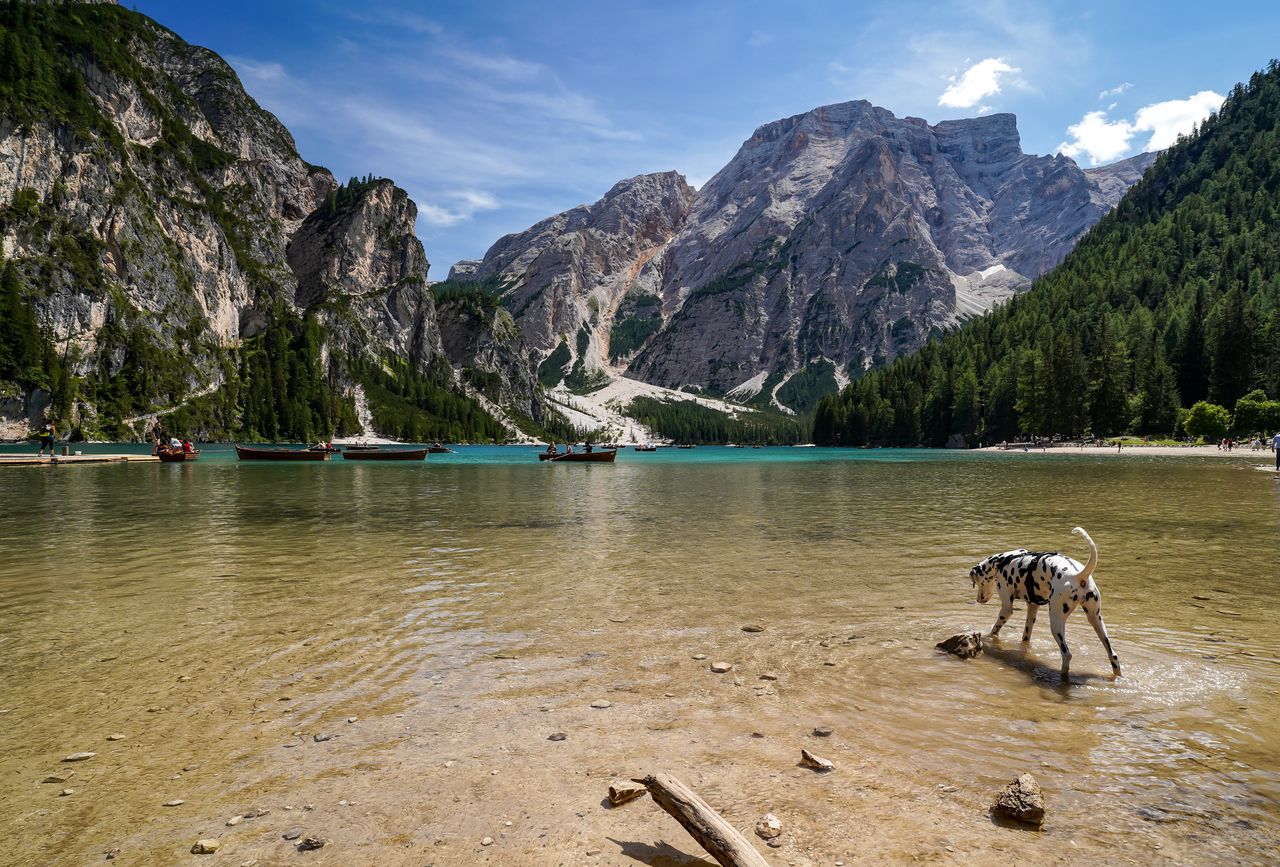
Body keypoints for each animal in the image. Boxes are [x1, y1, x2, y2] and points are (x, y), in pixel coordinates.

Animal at [967, 525, 1121, 681]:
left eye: (977, 582)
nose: (978, 600)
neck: (1002, 561)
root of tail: (1078, 575)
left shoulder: (1006, 609)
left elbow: (994, 629)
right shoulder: (1032, 608)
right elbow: (1026, 636)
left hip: (1056, 623)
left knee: (1066, 654)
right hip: (1096, 621)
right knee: (1113, 656)